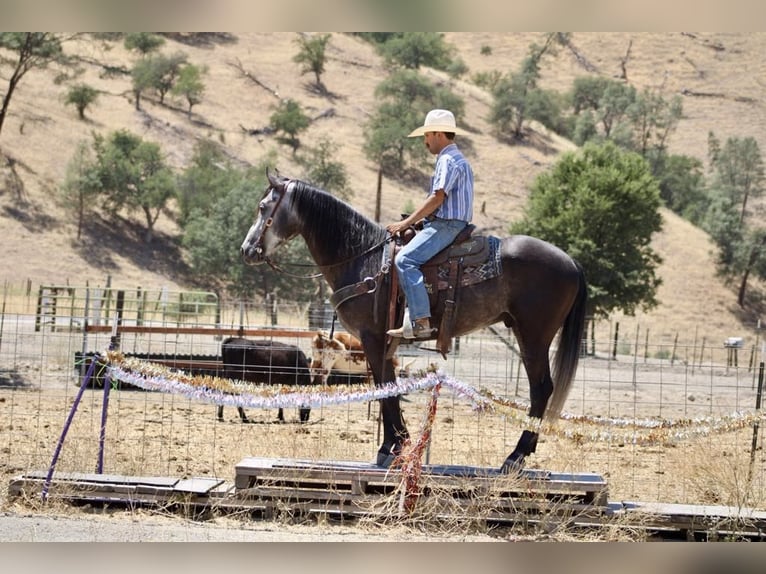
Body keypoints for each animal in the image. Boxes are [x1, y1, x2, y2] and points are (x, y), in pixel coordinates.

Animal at [240, 172, 587, 472]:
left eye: (263, 207)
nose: (246, 250)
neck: (362, 257)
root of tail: (571, 261)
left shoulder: (372, 337)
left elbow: (384, 388)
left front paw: (390, 448)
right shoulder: (384, 343)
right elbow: (389, 386)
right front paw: (398, 443)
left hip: (534, 336)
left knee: (541, 389)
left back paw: (515, 457)